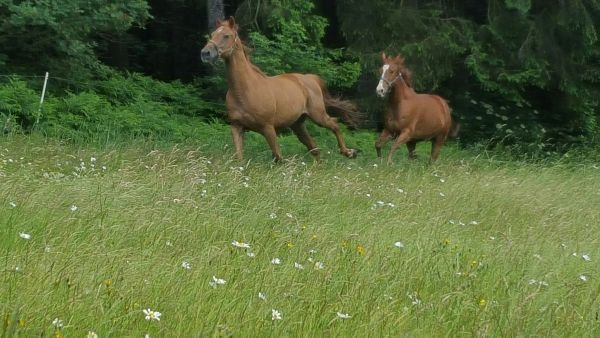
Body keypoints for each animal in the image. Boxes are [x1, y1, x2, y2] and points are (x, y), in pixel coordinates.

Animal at [202, 17, 360, 162]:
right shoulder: (237, 127)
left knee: (335, 125)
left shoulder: (268, 128)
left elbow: (278, 157)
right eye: (212, 34)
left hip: (318, 116)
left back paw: (349, 152)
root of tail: (310, 78)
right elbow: (239, 158)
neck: (244, 90)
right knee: (314, 148)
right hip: (297, 125)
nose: (205, 53)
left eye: (226, 35)